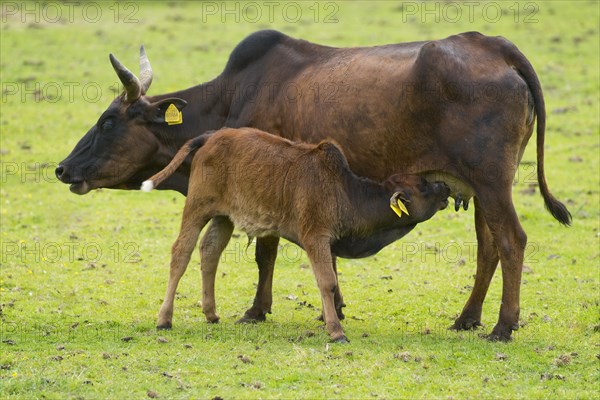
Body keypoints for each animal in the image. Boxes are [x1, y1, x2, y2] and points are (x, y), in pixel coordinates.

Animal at [142, 128, 450, 340]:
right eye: (423, 186)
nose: (445, 187)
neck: (345, 192)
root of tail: (212, 135)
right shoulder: (316, 237)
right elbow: (327, 282)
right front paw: (336, 331)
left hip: (224, 217)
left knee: (209, 252)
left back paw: (211, 312)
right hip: (197, 207)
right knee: (181, 253)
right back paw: (164, 319)